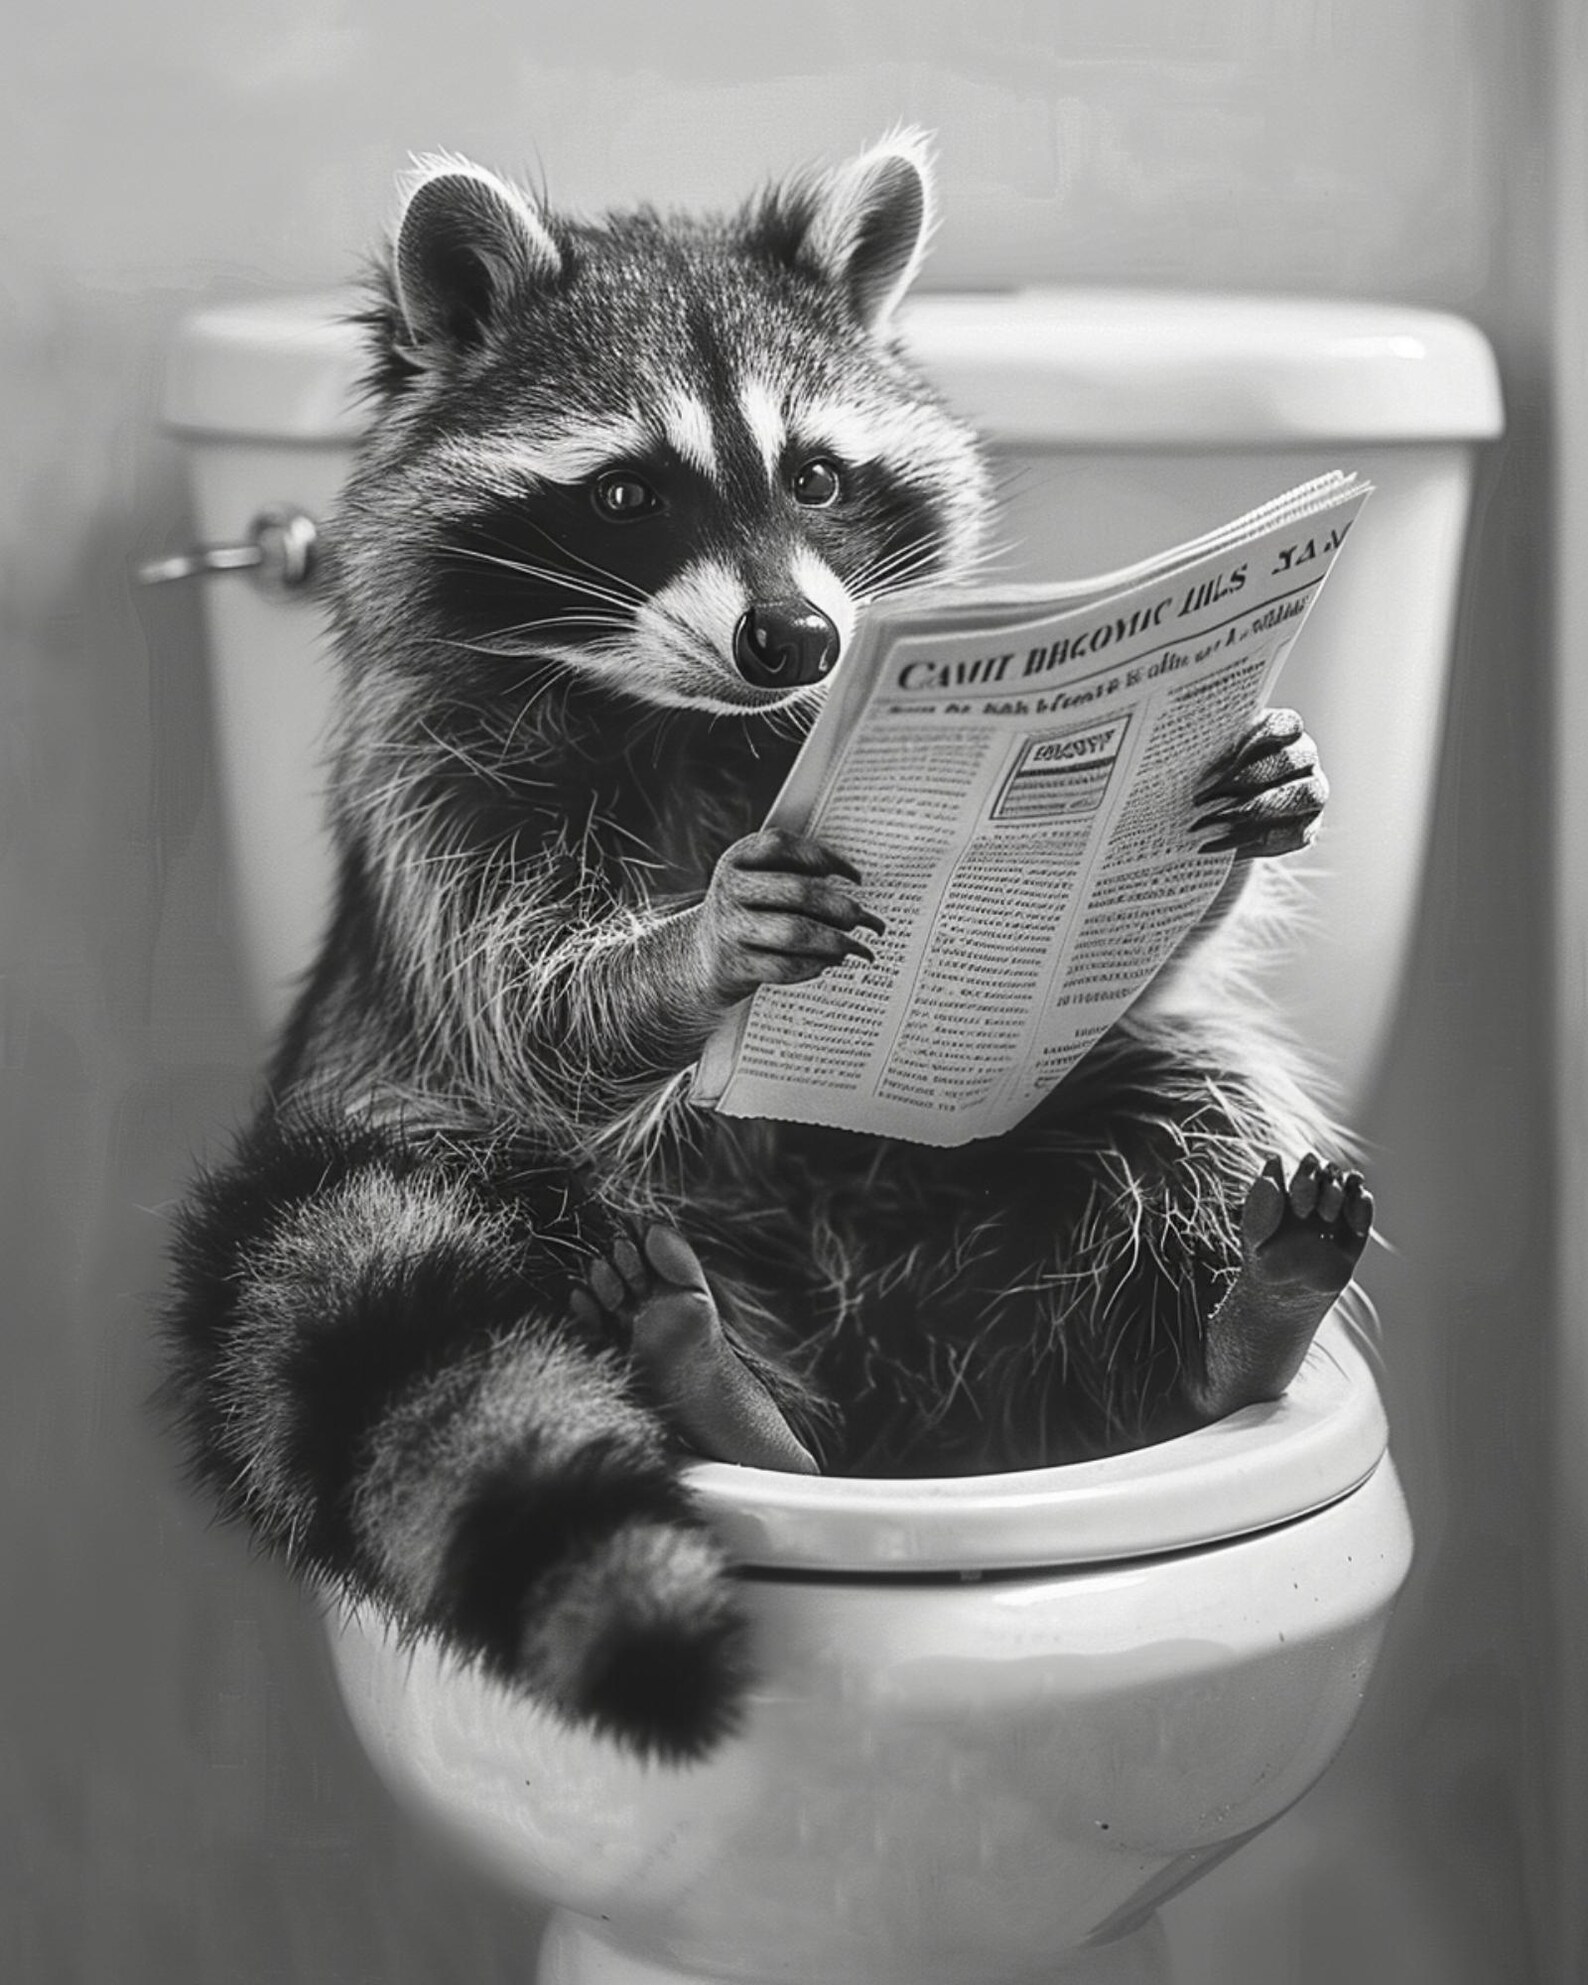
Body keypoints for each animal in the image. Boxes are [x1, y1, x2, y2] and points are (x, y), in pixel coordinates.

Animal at [164, 132, 1373, 1762]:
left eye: (815, 474)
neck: (682, 716)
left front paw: (1248, 814)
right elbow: (525, 1018)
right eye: (626, 492)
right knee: (483, 1191)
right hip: (453, 1167)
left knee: (1167, 1088)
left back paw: (1233, 1330)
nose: (795, 638)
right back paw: (714, 1381)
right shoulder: (432, 797)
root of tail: (881, 1406)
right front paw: (689, 955)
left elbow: (1150, 981)